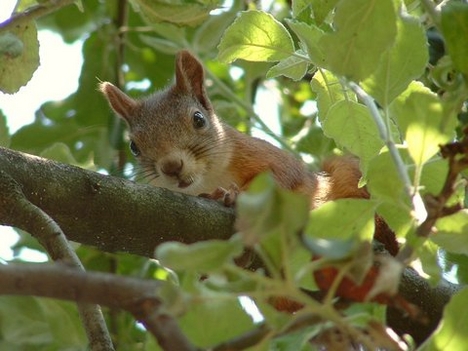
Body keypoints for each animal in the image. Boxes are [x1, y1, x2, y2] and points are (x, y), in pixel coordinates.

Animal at [100, 50, 396, 256]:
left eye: (198, 119)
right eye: (134, 146)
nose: (171, 167)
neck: (210, 177)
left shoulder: (264, 154)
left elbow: (284, 176)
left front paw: (233, 195)